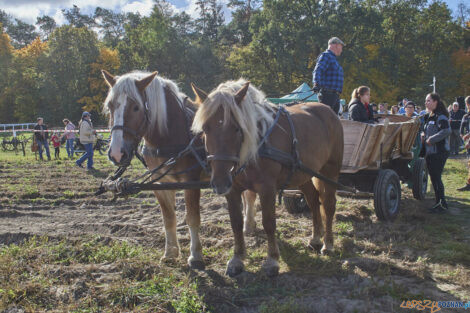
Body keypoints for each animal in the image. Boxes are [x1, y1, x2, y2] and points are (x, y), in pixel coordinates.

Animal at [192, 78, 346, 276]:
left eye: (237, 128)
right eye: (205, 128)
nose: (219, 182)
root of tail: (328, 110)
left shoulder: (267, 188)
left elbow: (269, 222)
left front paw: (272, 260)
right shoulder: (232, 190)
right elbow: (235, 223)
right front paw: (237, 258)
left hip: (330, 171)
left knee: (328, 204)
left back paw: (328, 244)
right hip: (303, 173)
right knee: (313, 200)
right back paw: (316, 238)